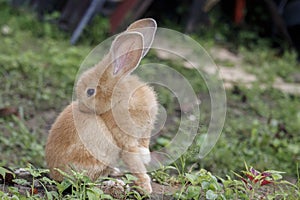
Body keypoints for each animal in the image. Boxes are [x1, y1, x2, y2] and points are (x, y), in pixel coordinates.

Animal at [45, 18, 158, 193]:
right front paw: (146, 188)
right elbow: (134, 162)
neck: (118, 97)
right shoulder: (125, 140)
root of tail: (54, 174)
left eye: (90, 91)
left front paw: (146, 158)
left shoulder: (145, 131)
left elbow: (142, 149)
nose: (81, 107)